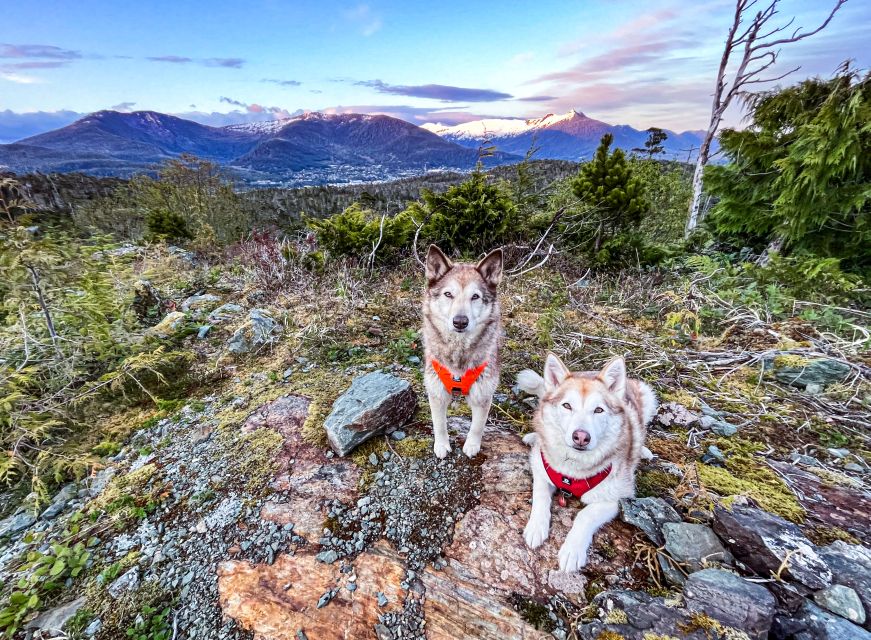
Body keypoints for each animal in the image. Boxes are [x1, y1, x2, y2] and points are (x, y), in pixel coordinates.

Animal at [424, 245, 504, 460]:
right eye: (448, 294)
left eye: (475, 296)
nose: (460, 321)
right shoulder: (436, 392)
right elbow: (439, 424)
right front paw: (441, 445)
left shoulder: (483, 395)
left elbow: (477, 426)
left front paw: (472, 445)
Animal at [516, 352, 656, 572]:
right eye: (567, 405)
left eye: (598, 410)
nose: (581, 437)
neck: (574, 468)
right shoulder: (542, 470)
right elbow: (540, 496)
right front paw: (536, 526)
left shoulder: (617, 499)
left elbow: (585, 515)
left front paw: (572, 550)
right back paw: (533, 436)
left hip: (647, 396)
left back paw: (642, 449)